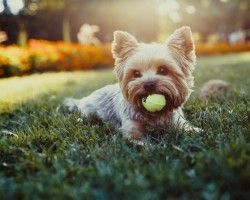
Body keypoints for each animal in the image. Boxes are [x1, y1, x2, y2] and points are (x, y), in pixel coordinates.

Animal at [64, 26, 201, 143]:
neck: (155, 115)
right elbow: (138, 141)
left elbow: (187, 128)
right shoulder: (132, 129)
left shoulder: (177, 122)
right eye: (136, 73)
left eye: (163, 70)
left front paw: (196, 131)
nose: (149, 84)